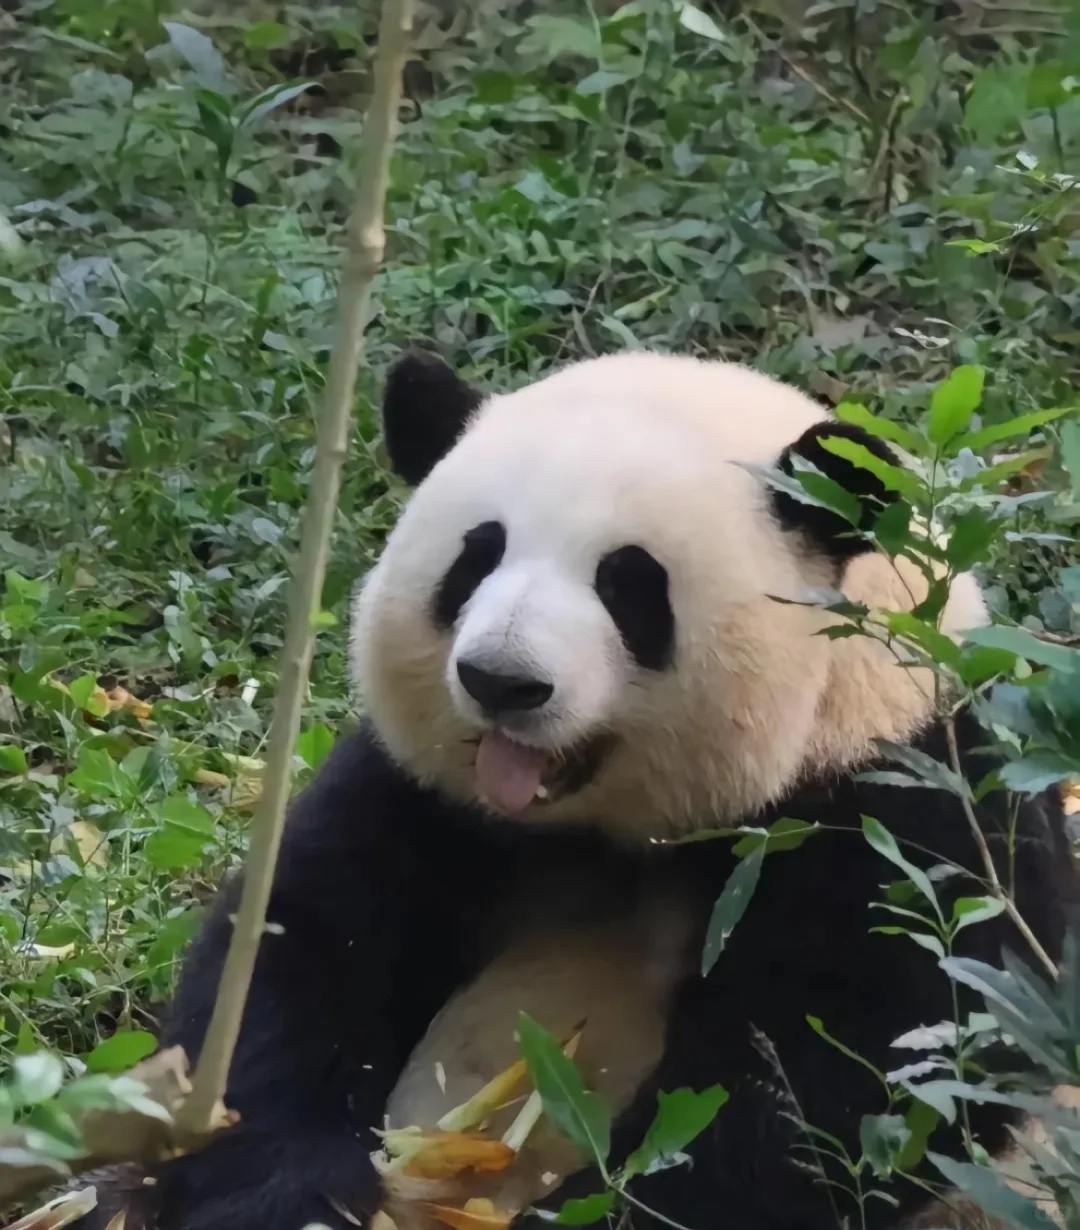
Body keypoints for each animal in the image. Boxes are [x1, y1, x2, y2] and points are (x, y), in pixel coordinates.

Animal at [80, 346, 1077, 1230]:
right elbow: (292, 949)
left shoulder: (893, 796)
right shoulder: (426, 796)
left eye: (628, 582)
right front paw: (290, 1196)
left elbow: (851, 1069)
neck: (615, 828)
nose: (500, 681)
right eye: (476, 559)